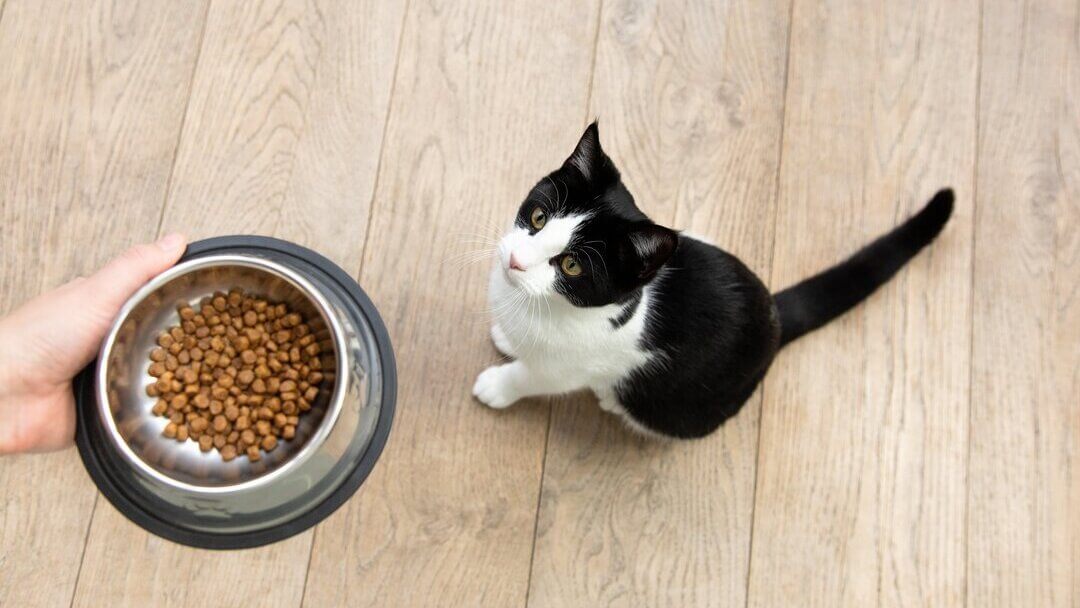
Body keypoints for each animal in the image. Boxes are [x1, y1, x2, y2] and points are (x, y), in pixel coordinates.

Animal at [473, 122, 954, 438]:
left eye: (572, 265)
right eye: (538, 217)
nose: (515, 260)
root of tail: (775, 316)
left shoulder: (570, 367)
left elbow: (533, 378)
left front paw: (498, 385)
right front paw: (508, 338)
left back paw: (611, 401)